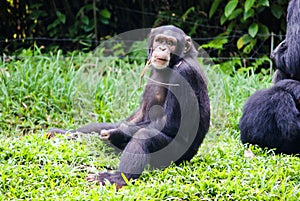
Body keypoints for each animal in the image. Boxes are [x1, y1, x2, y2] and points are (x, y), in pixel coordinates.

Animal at [48, 25, 210, 188]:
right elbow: (140, 113)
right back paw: (64, 133)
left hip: (174, 156)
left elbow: (171, 124)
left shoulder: (183, 75)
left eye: (171, 43)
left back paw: (117, 178)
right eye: (160, 40)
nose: (163, 48)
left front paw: (116, 133)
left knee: (143, 136)